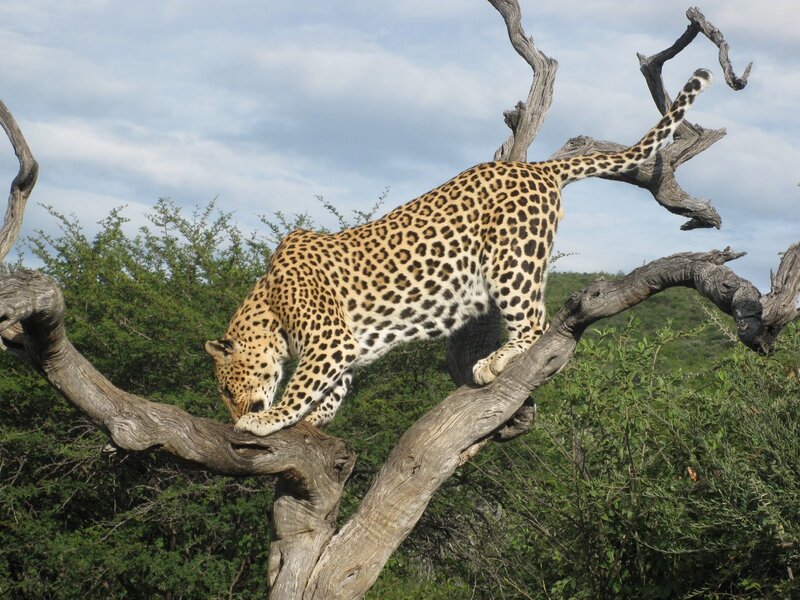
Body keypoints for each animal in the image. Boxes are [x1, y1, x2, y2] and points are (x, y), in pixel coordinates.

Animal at [206, 69, 711, 436]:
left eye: (228, 390)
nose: (231, 415)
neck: (267, 304)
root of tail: (538, 169)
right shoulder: (344, 347)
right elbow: (327, 389)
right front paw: (311, 419)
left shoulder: (330, 338)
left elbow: (299, 386)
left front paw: (265, 420)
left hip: (512, 258)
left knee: (535, 322)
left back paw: (494, 362)